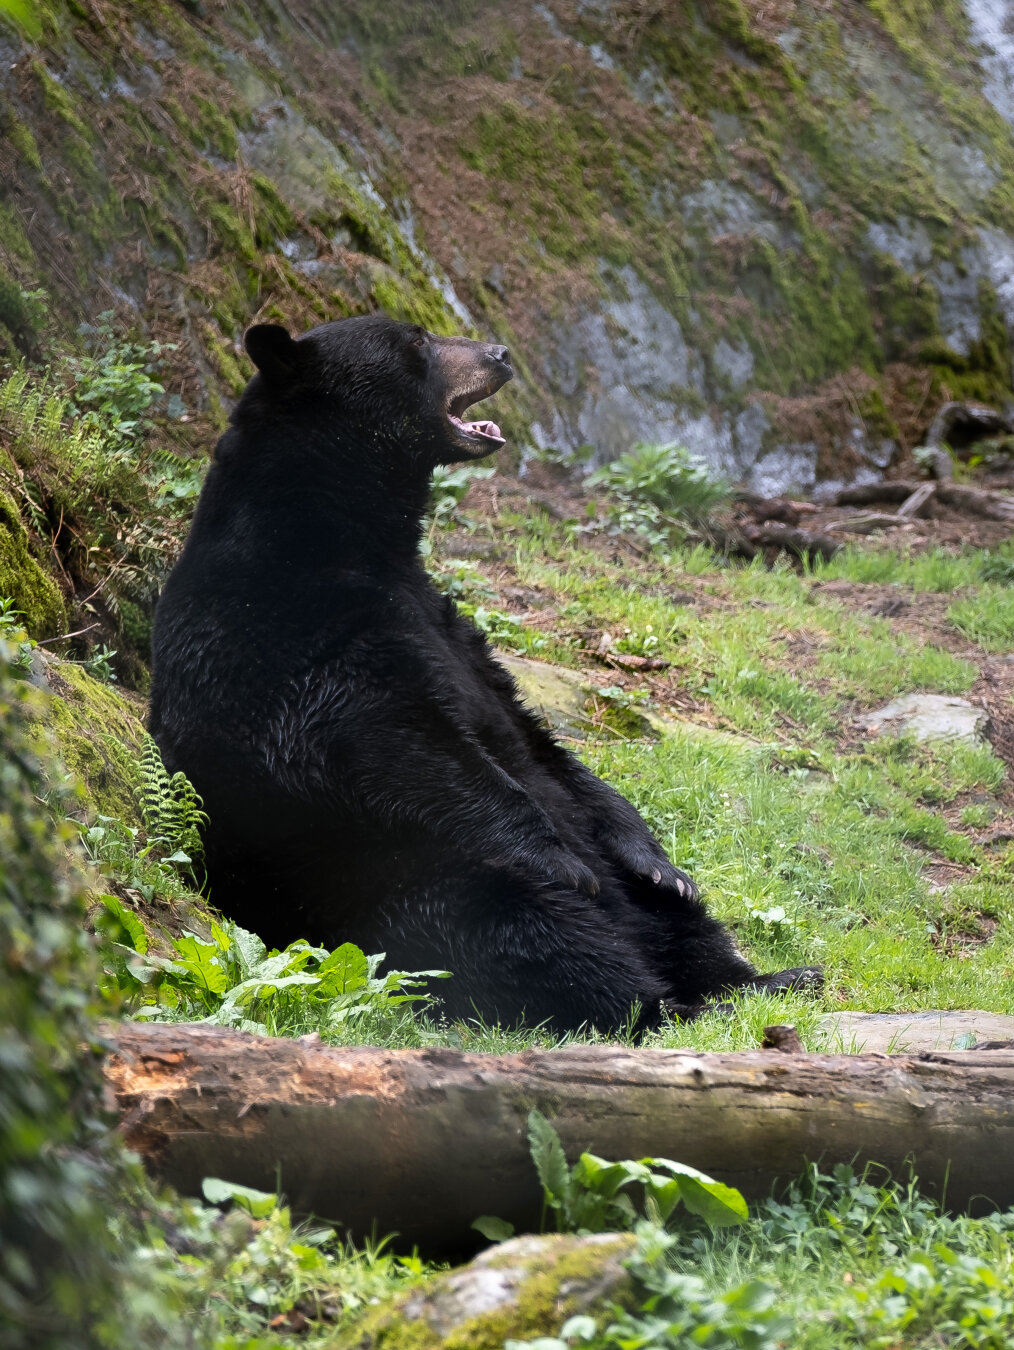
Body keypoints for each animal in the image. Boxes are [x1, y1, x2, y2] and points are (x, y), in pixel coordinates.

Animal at [150, 314, 820, 1033]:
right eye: (416, 343)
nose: (499, 353)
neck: (336, 537)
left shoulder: (446, 627)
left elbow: (535, 739)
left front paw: (658, 860)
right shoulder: (287, 630)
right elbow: (399, 739)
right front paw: (560, 857)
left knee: (683, 923)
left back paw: (767, 977)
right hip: (399, 890)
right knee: (527, 929)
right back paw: (661, 1000)